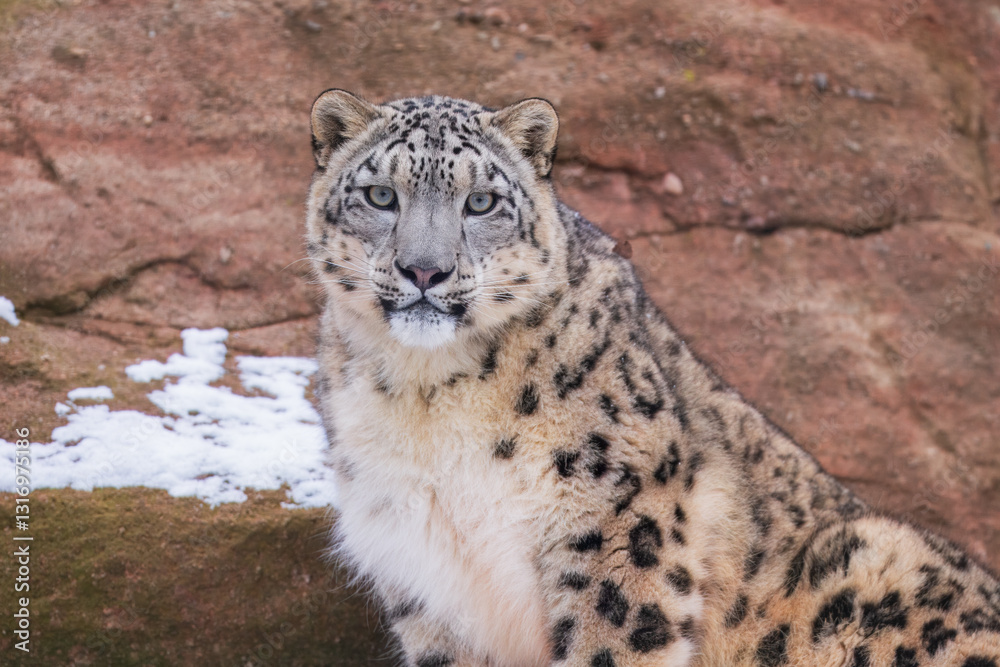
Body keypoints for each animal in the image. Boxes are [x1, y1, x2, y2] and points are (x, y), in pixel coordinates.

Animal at [303, 89, 1000, 667]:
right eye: (381, 196)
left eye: (481, 202)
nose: (425, 270)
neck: (428, 397)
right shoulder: (426, 582)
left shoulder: (618, 522)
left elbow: (611, 645)